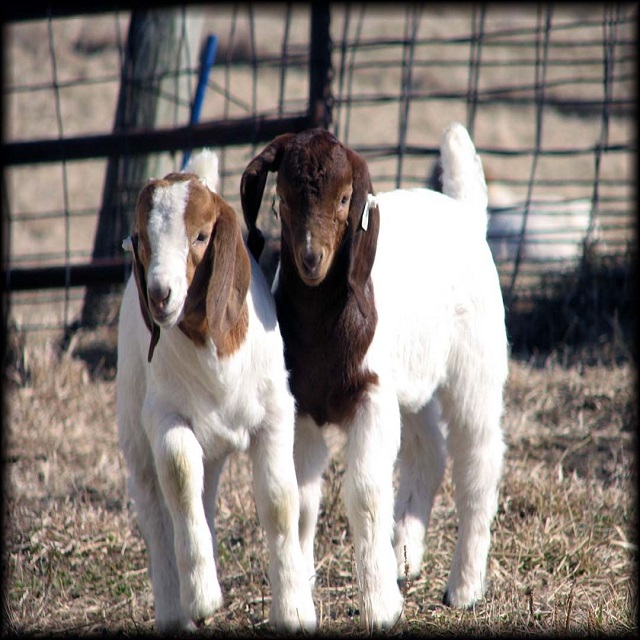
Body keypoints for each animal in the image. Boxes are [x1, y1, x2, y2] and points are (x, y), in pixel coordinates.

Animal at [116, 149, 316, 632]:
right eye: (139, 239)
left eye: (202, 235)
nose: (160, 295)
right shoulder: (165, 415)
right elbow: (178, 475)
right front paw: (202, 597)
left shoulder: (275, 414)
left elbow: (280, 501)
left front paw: (294, 610)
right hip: (134, 427)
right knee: (155, 508)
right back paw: (176, 612)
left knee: (203, 497)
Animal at [241, 124, 510, 632]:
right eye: (282, 197)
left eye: (347, 197)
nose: (312, 259)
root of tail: (465, 210)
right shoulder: (303, 407)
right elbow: (302, 498)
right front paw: (300, 593)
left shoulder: (372, 396)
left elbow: (365, 492)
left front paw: (381, 607)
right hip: (413, 377)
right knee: (429, 451)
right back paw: (404, 554)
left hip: (476, 363)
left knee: (478, 459)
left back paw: (464, 588)